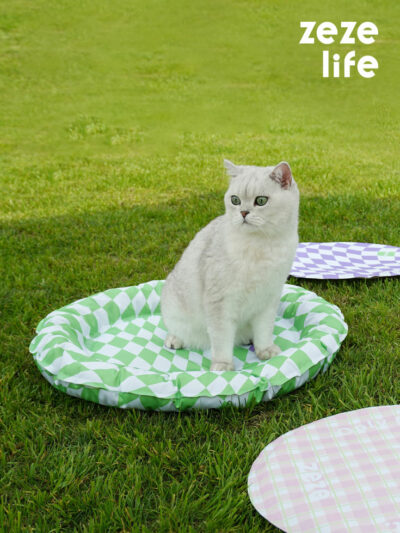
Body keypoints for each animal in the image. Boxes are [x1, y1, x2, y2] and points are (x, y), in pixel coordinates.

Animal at [161, 159, 298, 370]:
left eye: (261, 201)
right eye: (235, 200)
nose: (243, 212)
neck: (260, 245)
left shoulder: (268, 299)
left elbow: (264, 331)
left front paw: (265, 351)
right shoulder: (220, 302)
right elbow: (222, 339)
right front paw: (223, 366)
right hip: (175, 309)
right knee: (179, 331)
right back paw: (175, 340)